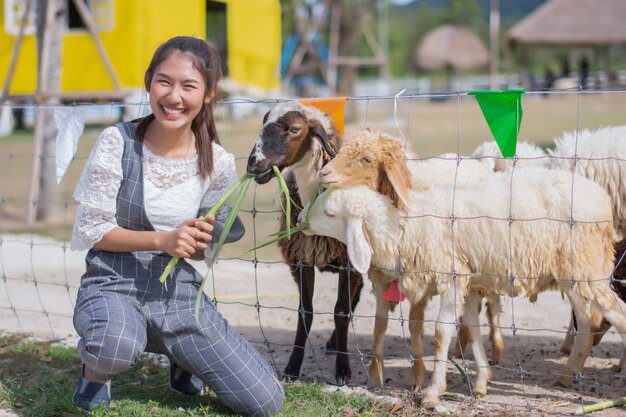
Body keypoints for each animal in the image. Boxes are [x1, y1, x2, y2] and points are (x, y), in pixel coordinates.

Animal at [244, 100, 360, 384]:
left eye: (295, 129)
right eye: (263, 122)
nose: (253, 165)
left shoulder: (348, 263)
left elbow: (341, 311)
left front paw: (343, 371)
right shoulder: (302, 260)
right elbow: (304, 312)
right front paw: (292, 367)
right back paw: (332, 343)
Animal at [300, 130, 620, 406]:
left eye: (367, 158)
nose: (301, 217)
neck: (405, 223)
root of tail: (602, 200)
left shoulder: (450, 278)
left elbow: (440, 331)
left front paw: (431, 391)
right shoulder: (454, 281)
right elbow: (460, 327)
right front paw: (478, 382)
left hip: (587, 265)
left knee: (615, 312)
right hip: (576, 274)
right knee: (588, 321)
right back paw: (567, 375)